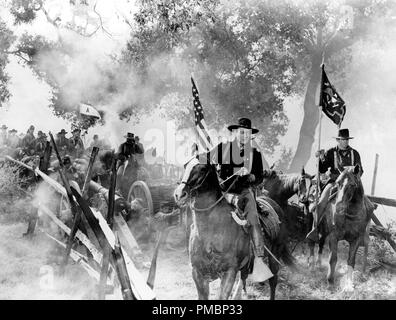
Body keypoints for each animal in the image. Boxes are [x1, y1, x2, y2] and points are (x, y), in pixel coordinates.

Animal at [174, 160, 294, 300]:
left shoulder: (229, 272)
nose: (179, 194)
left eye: (203, 169)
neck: (211, 232)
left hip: (275, 254)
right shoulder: (197, 272)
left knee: (273, 281)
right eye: (185, 165)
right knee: (243, 279)